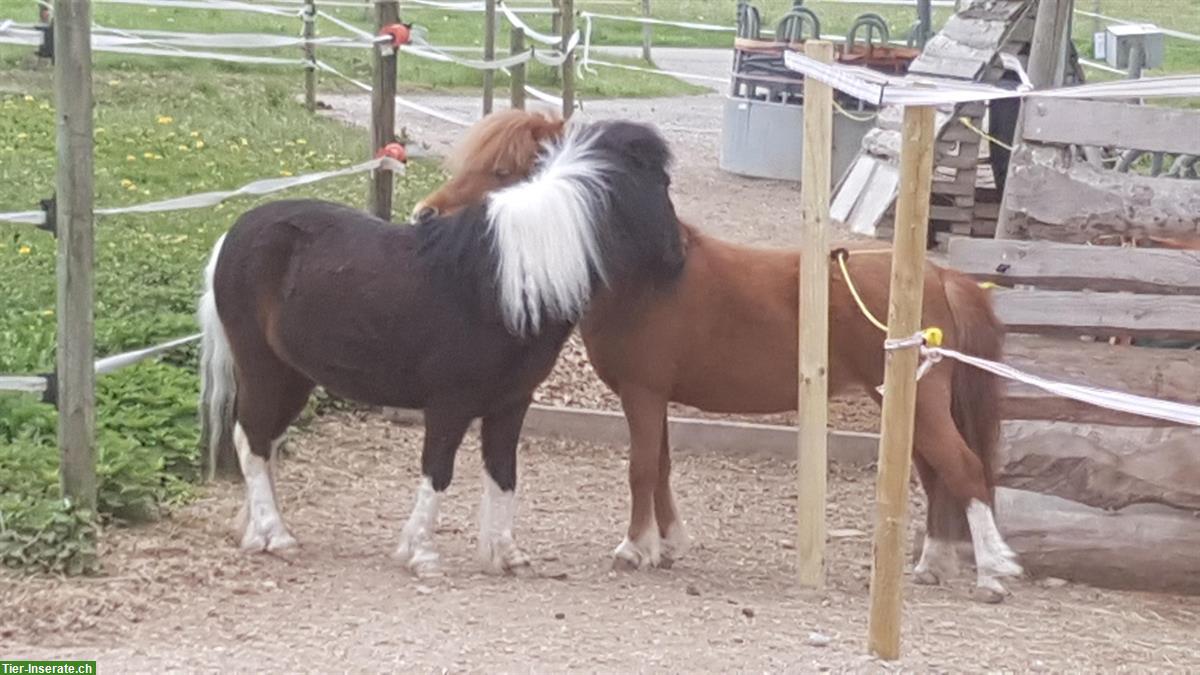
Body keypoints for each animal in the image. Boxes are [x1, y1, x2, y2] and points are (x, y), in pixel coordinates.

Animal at [198, 118, 686, 576]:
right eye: (662, 184)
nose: (678, 259)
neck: (510, 281)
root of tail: (232, 236)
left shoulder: (510, 405)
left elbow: (503, 474)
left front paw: (506, 555)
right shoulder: (449, 405)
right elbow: (438, 472)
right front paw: (420, 553)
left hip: (294, 376)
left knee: (262, 438)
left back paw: (256, 530)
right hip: (262, 367)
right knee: (252, 439)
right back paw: (275, 535)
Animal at [412, 110, 1022, 598]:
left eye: (502, 172)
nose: (423, 215)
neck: (649, 275)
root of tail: (941, 276)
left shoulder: (642, 393)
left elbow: (640, 468)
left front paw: (634, 549)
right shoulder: (654, 397)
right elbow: (660, 466)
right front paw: (667, 544)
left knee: (963, 468)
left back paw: (993, 572)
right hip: (901, 403)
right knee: (936, 475)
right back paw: (932, 565)